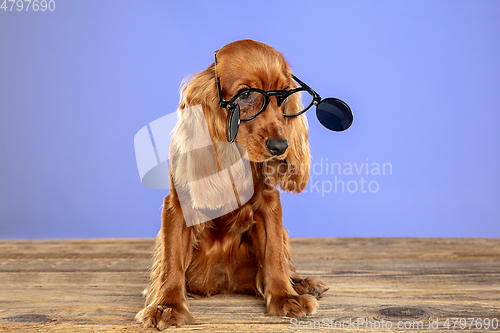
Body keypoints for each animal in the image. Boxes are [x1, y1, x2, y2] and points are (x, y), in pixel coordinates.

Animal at [136, 38, 328, 326]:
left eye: (283, 96)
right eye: (246, 94)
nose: (280, 146)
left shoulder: (268, 204)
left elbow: (273, 256)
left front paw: (285, 296)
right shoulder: (177, 205)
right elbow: (171, 259)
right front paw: (166, 304)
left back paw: (302, 283)